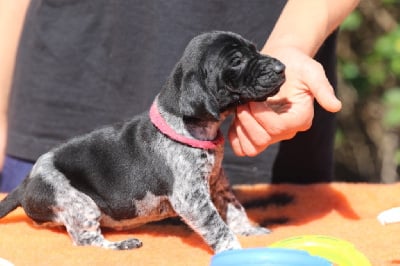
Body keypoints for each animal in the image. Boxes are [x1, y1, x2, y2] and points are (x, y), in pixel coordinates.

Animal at [0, 31, 284, 254]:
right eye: (236, 61)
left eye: (255, 49)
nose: (281, 67)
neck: (188, 126)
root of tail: (25, 183)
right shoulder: (191, 198)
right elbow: (217, 226)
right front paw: (232, 250)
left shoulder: (217, 184)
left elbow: (234, 209)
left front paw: (250, 230)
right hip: (78, 203)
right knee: (86, 241)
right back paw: (120, 245)